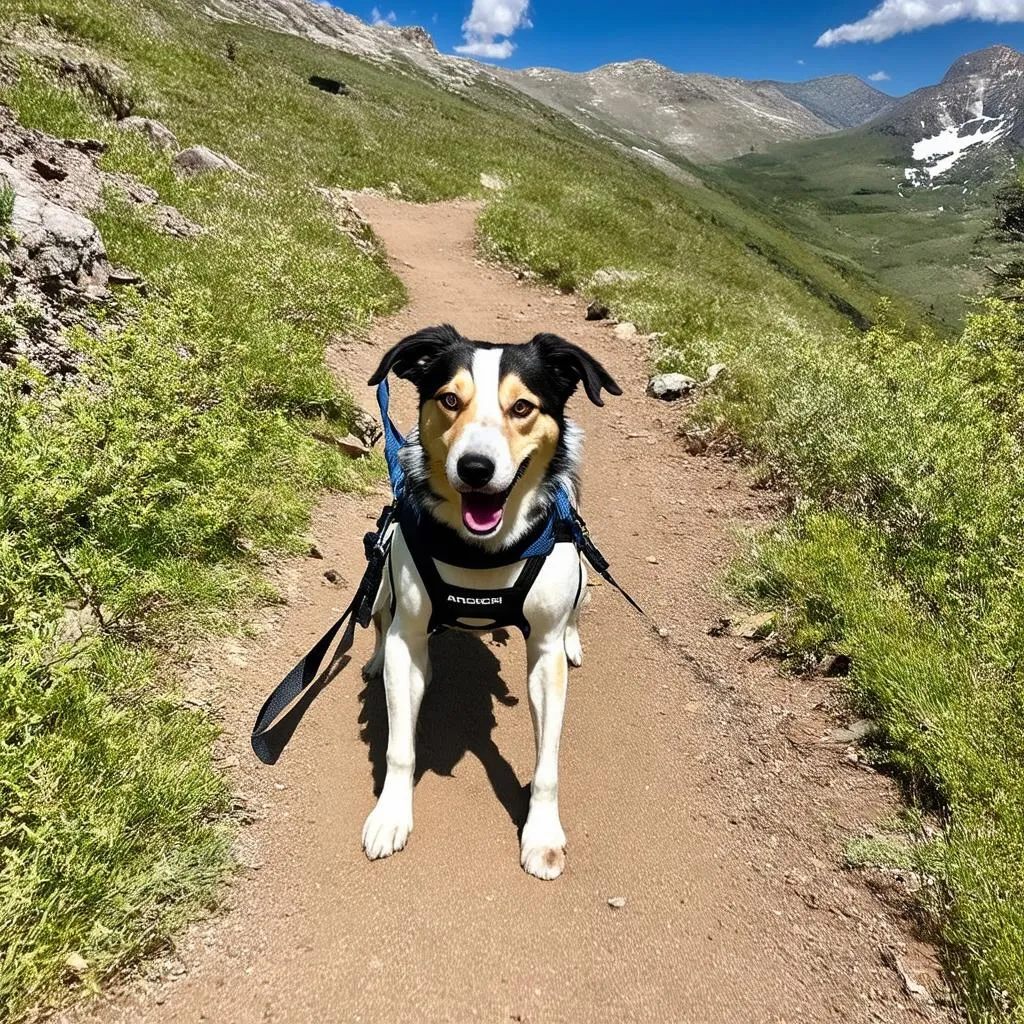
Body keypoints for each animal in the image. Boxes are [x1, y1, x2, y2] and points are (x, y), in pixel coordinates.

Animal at [360, 323, 618, 876]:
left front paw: (541, 832)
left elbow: (547, 762)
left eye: (522, 407)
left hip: (582, 568)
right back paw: (377, 658)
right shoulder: (409, 632)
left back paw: (575, 640)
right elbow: (399, 746)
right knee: (381, 617)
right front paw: (391, 814)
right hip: (384, 570)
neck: (483, 550)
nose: (476, 467)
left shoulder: (543, 654)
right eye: (449, 399)